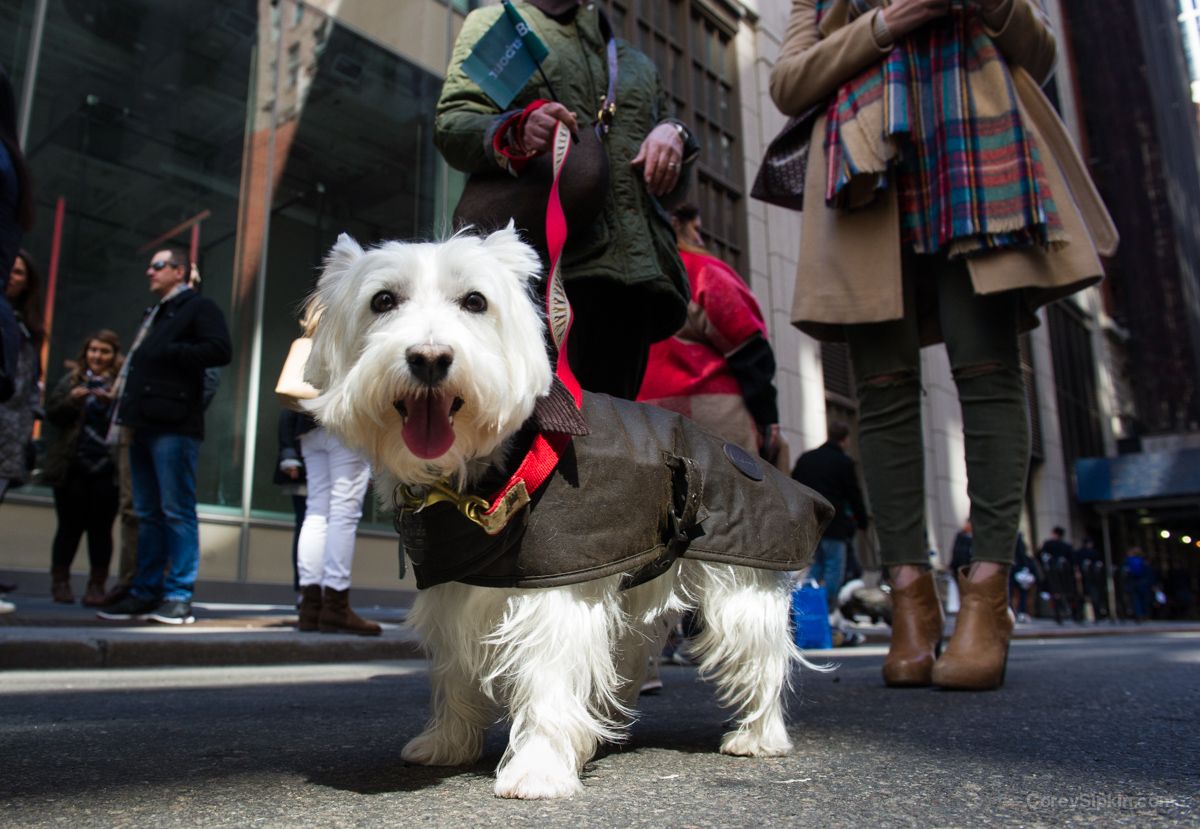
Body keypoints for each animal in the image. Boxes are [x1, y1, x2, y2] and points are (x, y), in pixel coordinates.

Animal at [302, 225, 825, 796]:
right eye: (382, 301)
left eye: (475, 301)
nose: (430, 358)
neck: (487, 473)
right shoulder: (455, 589)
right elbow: (456, 672)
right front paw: (447, 743)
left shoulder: (556, 594)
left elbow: (549, 680)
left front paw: (539, 769)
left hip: (741, 589)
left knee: (760, 661)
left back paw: (757, 736)